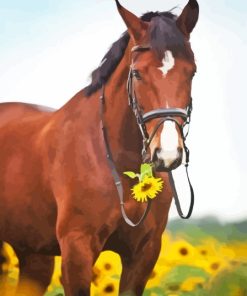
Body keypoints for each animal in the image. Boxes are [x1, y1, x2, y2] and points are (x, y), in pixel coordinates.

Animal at [0, 0, 199, 294]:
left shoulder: (143, 254)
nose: (167, 153)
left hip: (33, 254)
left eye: (192, 72)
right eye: (137, 73)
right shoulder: (77, 248)